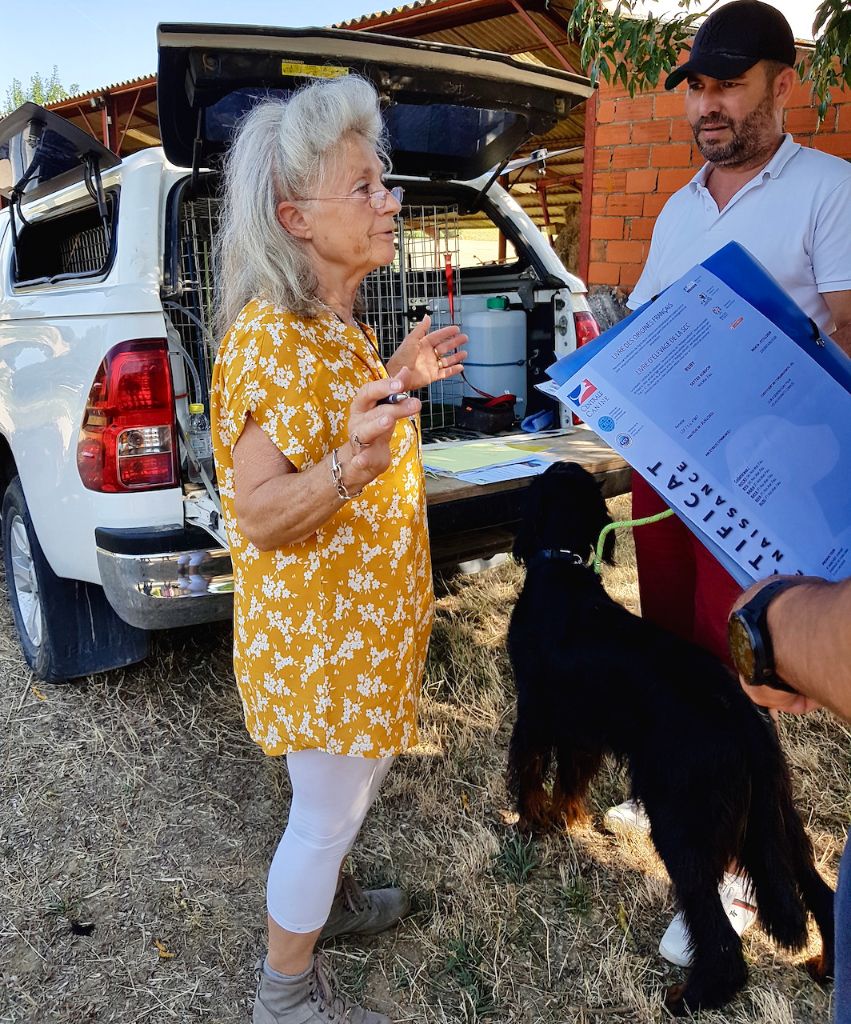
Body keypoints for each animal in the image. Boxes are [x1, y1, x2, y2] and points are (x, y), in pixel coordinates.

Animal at [505, 464, 831, 1015]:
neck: (564, 572)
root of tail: (743, 716)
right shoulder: (579, 728)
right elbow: (571, 779)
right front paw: (570, 820)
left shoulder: (535, 712)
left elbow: (528, 773)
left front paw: (531, 821)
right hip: (778, 819)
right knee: (821, 892)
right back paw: (826, 969)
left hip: (683, 825)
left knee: (720, 940)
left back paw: (688, 997)